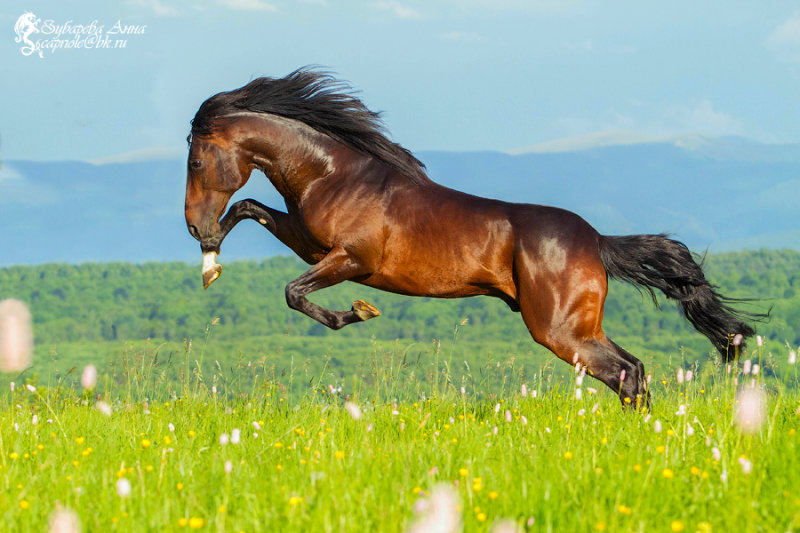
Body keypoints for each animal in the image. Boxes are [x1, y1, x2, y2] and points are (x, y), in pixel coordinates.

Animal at [186, 67, 764, 408]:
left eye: (194, 160)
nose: (194, 227)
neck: (334, 174)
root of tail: (598, 240)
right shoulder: (307, 242)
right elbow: (247, 208)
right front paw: (210, 264)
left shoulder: (350, 259)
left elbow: (294, 293)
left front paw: (357, 313)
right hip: (579, 329)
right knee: (634, 370)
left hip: (560, 330)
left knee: (625, 373)